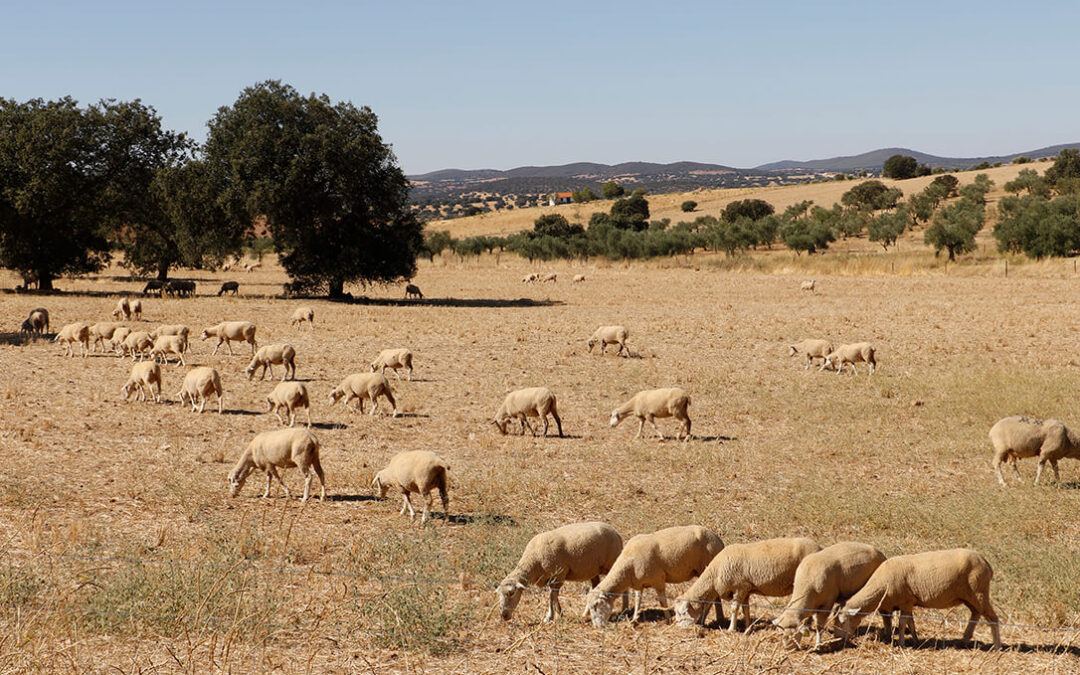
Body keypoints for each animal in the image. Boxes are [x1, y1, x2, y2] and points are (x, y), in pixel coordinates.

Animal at [496, 520, 626, 622]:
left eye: (511, 593)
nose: (504, 616)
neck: (533, 561)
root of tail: (616, 533)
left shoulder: (558, 576)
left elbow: (552, 597)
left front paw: (553, 615)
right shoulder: (551, 579)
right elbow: (552, 596)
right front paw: (556, 614)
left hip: (612, 563)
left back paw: (624, 610)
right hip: (592, 569)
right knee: (595, 586)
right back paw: (587, 612)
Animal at [583, 520, 725, 626]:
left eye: (596, 605)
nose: (598, 627)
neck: (627, 567)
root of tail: (719, 541)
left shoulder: (658, 579)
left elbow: (662, 601)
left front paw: (668, 619)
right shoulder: (638, 584)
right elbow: (638, 601)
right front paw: (634, 619)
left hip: (706, 569)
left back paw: (705, 620)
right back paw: (719, 618)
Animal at [669, 537, 820, 630]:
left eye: (683, 612)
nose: (679, 628)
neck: (714, 574)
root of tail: (819, 548)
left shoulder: (740, 587)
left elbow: (734, 608)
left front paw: (731, 629)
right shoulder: (746, 589)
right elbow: (745, 609)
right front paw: (748, 627)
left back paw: (805, 626)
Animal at [833, 548, 1002, 648]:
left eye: (842, 621)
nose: (837, 637)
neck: (880, 585)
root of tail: (987, 564)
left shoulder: (906, 602)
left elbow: (902, 624)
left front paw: (902, 643)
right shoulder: (909, 603)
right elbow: (911, 623)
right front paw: (915, 640)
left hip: (979, 592)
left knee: (993, 618)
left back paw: (997, 646)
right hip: (970, 596)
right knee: (976, 614)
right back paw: (965, 640)